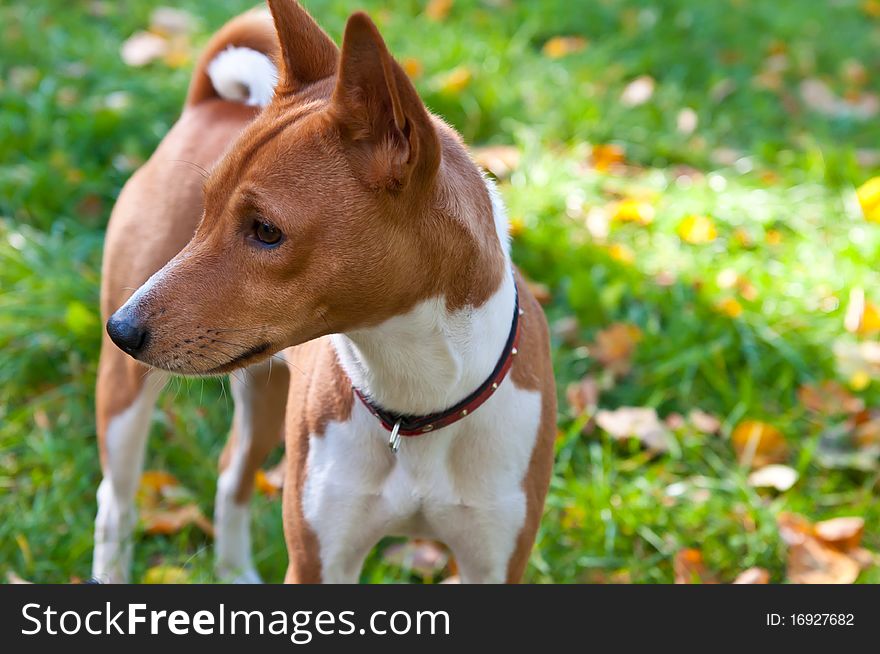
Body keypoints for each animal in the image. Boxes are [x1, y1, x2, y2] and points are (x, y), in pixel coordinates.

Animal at [94, 0, 552, 584]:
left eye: (266, 230)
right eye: (205, 208)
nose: (121, 329)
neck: (416, 406)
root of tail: (209, 104)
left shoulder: (493, 564)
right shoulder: (319, 563)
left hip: (265, 390)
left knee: (231, 475)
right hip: (126, 402)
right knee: (116, 502)